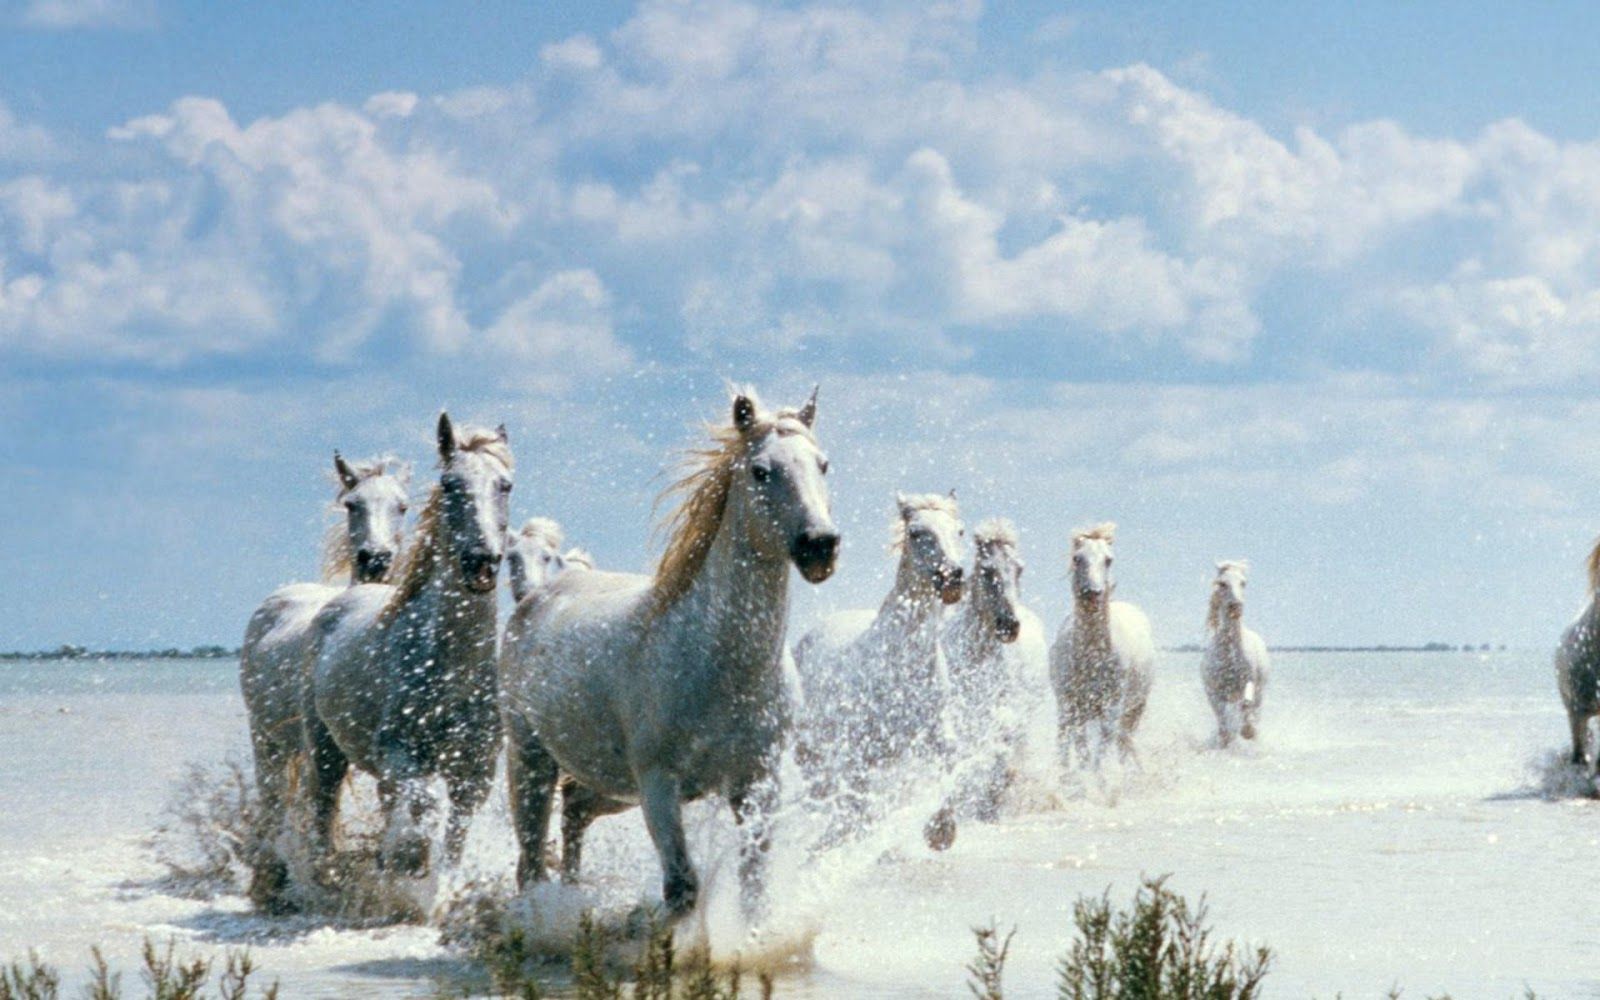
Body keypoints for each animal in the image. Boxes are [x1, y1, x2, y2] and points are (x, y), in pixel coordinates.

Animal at [306, 413, 512, 879]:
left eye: (505, 484)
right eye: (451, 484)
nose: (481, 561)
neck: (453, 665)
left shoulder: (475, 771)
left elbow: (454, 838)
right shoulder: (399, 755)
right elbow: (422, 810)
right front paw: (407, 862)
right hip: (325, 746)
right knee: (323, 807)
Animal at [499, 389, 838, 918]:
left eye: (822, 465)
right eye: (761, 470)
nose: (820, 546)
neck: (718, 660)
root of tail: (536, 596)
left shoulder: (757, 780)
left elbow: (754, 886)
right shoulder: (658, 782)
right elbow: (682, 888)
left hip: (609, 784)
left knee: (574, 815)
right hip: (531, 759)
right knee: (531, 861)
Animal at [793, 491, 965, 849]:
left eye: (960, 531)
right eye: (916, 533)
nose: (952, 578)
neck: (902, 662)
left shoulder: (934, 731)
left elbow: (952, 758)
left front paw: (941, 832)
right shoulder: (862, 755)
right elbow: (858, 808)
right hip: (812, 753)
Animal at [1048, 523, 1155, 770]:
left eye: (1108, 559)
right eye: (1077, 558)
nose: (1092, 594)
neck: (1092, 657)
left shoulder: (1111, 711)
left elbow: (1100, 759)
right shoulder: (1073, 709)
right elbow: (1082, 754)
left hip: (1136, 708)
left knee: (1125, 741)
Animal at [1201, 561, 1269, 747]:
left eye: (1243, 582)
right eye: (1222, 583)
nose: (1236, 607)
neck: (1230, 654)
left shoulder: (1249, 681)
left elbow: (1247, 706)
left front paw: (1247, 731)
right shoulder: (1214, 692)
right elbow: (1224, 726)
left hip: (1260, 691)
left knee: (1255, 711)